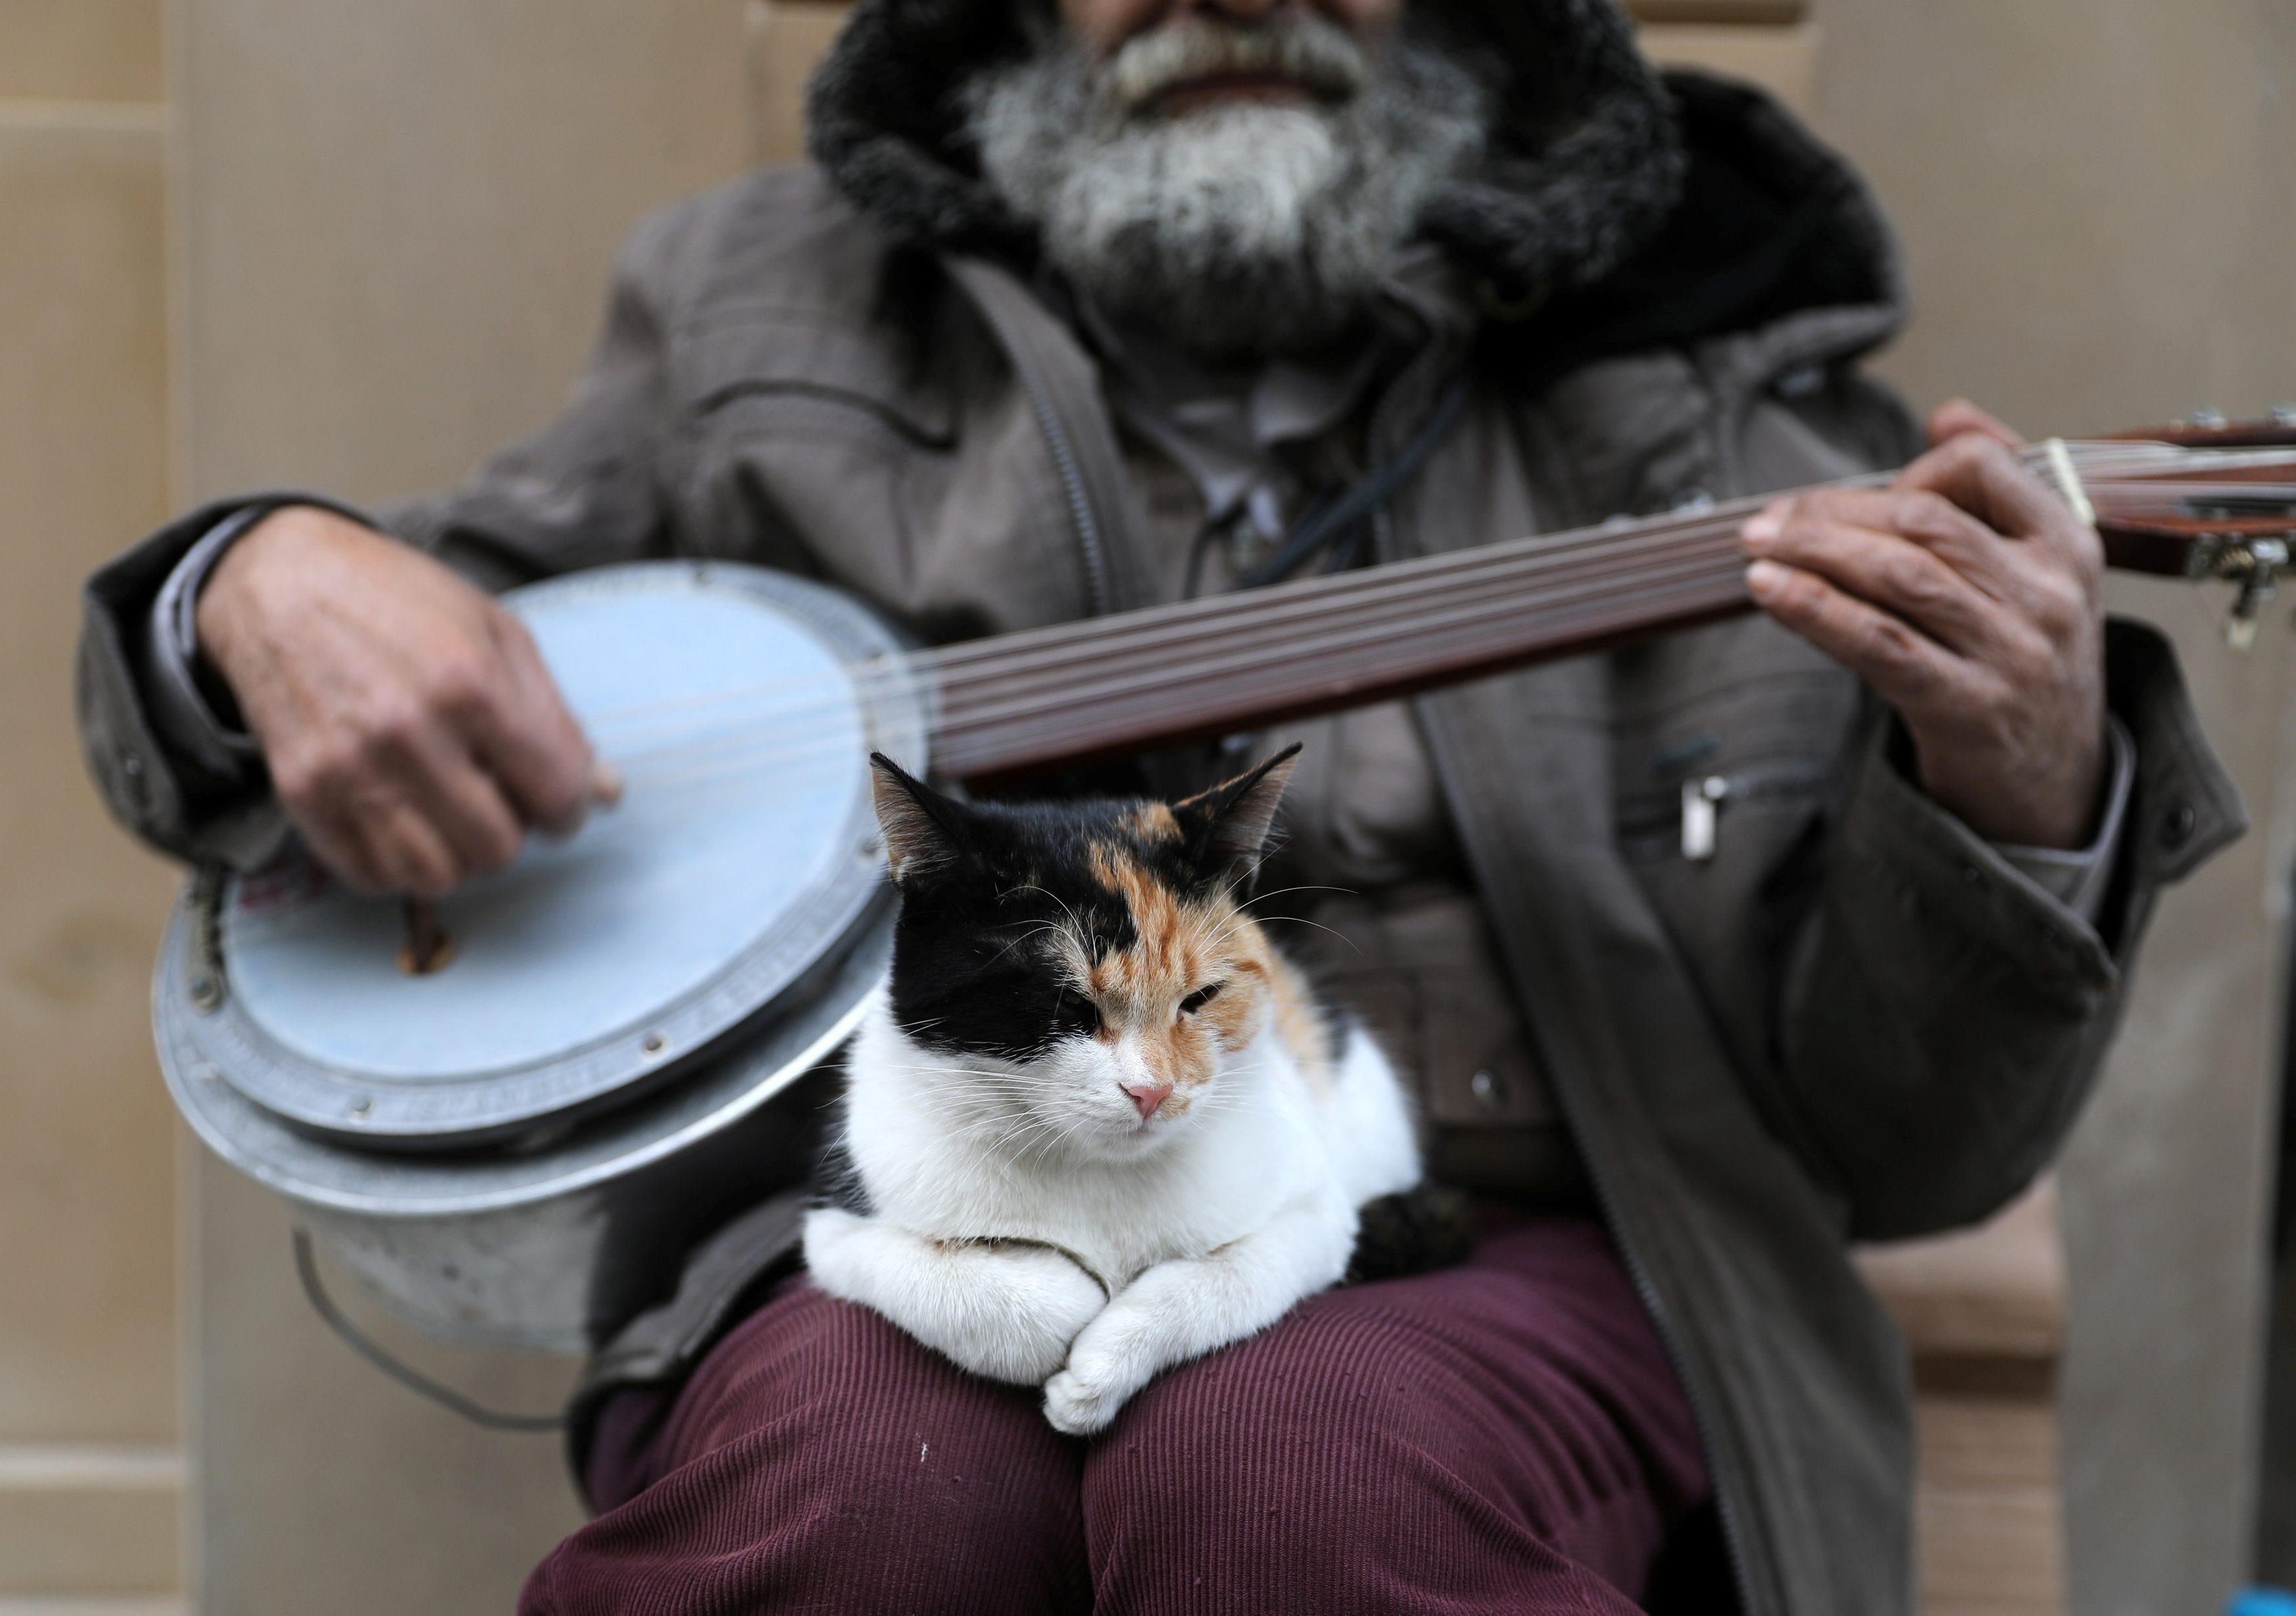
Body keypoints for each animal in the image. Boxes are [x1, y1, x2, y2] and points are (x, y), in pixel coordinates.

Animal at [804, 748, 1433, 1442]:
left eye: (1202, 997)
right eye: (1067, 1003)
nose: (1152, 1091)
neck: (1096, 1177)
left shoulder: (1318, 1216)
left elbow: (1224, 1277)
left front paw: (1095, 1374)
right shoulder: (836, 1227)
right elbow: (999, 1292)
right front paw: (1067, 1298)